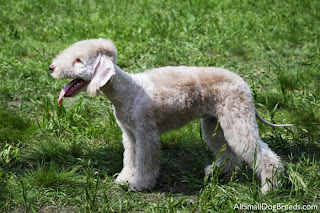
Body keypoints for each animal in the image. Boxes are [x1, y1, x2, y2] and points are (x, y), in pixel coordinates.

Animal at [49, 38, 290, 193]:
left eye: (79, 60)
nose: (51, 67)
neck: (127, 91)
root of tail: (245, 84)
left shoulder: (146, 133)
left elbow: (146, 161)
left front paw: (139, 184)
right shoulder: (129, 134)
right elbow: (130, 159)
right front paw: (124, 179)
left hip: (237, 119)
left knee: (261, 154)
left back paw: (269, 187)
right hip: (213, 123)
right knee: (228, 151)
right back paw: (218, 172)